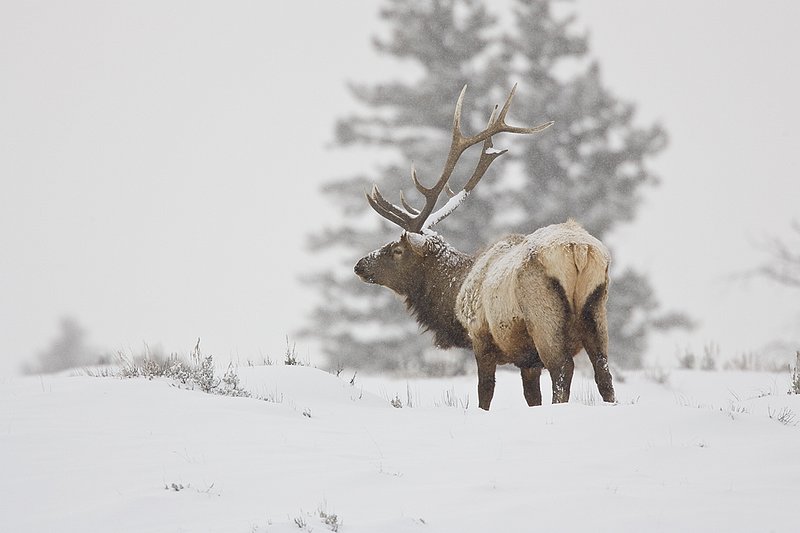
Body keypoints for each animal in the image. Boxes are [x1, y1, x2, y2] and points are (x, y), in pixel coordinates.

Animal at [353, 85, 616, 410]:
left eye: (397, 250)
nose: (360, 264)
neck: (455, 295)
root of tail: (578, 251)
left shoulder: (481, 337)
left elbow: (485, 392)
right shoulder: (528, 361)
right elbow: (532, 398)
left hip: (544, 314)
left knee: (562, 368)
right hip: (597, 311)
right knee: (604, 373)